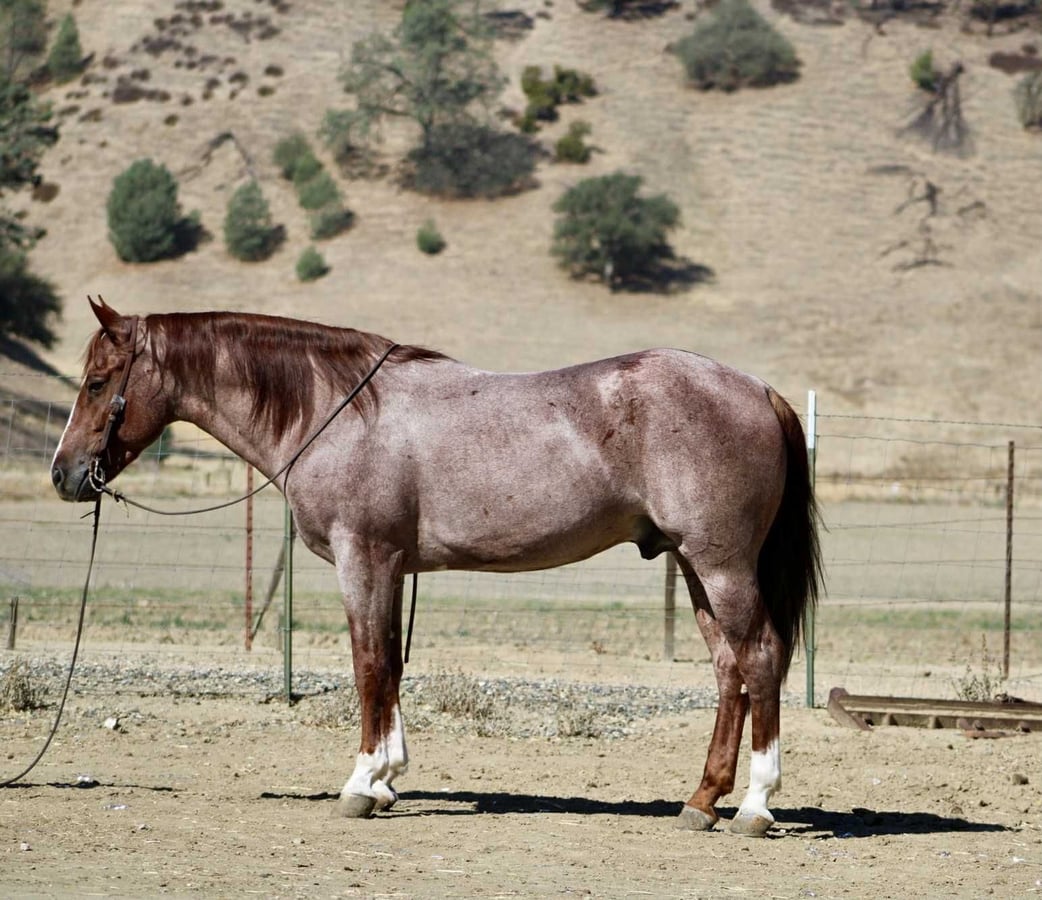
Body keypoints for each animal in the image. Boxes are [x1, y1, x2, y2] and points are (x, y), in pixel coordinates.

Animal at [51, 298, 821, 836]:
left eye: (96, 382)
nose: (63, 475)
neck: (339, 412)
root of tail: (757, 390)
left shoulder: (364, 559)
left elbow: (368, 664)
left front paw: (361, 784)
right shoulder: (392, 568)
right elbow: (390, 663)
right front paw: (388, 779)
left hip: (721, 566)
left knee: (758, 659)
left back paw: (755, 806)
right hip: (695, 567)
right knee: (727, 670)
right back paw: (702, 800)